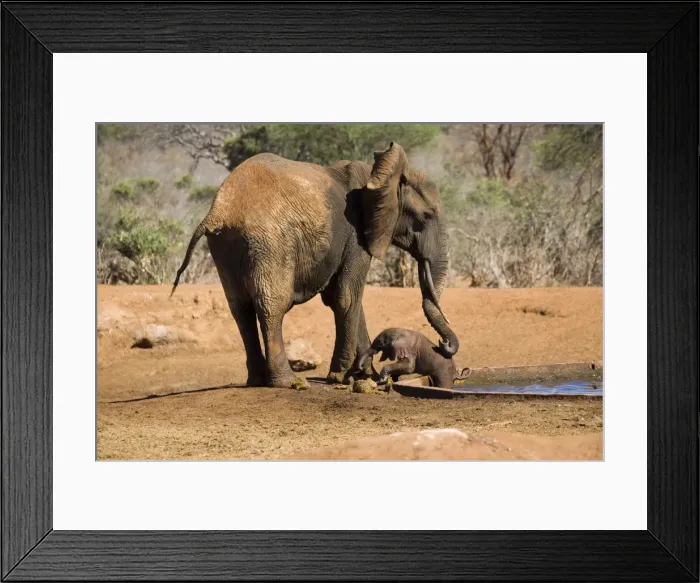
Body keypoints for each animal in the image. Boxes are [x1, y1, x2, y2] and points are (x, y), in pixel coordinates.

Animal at [171, 141, 459, 389]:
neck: (379, 176)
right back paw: (289, 382)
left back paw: (257, 380)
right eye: (426, 216)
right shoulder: (356, 236)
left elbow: (347, 299)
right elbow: (347, 297)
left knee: (239, 307)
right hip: (269, 242)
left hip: (224, 246)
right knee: (272, 305)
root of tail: (219, 211)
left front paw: (364, 375)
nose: (443, 344)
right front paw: (342, 377)